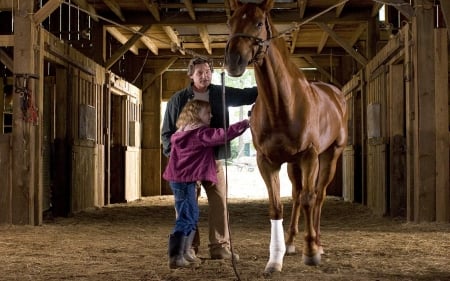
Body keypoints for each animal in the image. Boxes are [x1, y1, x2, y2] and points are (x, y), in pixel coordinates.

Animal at [225, 0, 348, 272]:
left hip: (330, 156)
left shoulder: (310, 155)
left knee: (317, 196)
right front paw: (275, 259)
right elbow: (276, 206)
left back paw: (318, 243)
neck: (282, 104)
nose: (233, 60)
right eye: (230, 22)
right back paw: (291, 242)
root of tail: (335, 94)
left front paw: (311, 251)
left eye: (259, 22)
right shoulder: (266, 161)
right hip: (293, 164)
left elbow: (309, 199)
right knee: (296, 194)